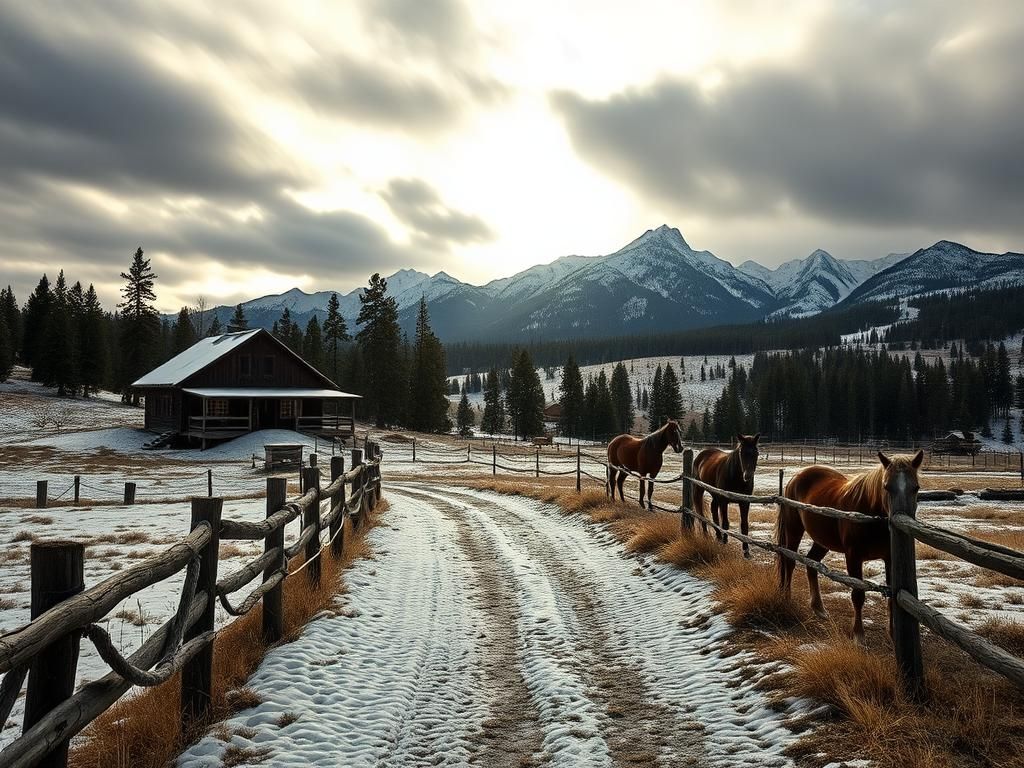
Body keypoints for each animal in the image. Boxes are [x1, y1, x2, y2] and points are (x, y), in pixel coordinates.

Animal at [774, 450, 921, 643]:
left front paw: (893, 634)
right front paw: (858, 635)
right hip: (793, 530)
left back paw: (819, 608)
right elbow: (858, 595)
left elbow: (891, 597)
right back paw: (786, 597)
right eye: (886, 486)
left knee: (812, 562)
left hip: (822, 540)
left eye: (916, 488)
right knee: (789, 561)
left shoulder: (889, 559)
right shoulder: (853, 557)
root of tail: (796, 477)